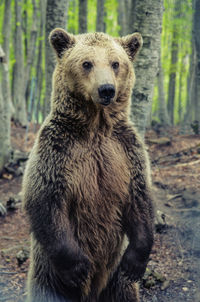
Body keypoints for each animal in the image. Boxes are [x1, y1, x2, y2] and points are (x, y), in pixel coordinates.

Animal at [22, 28, 153, 302]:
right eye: (86, 63)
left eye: (116, 63)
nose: (106, 90)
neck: (96, 127)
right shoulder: (58, 148)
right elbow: (45, 196)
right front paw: (78, 268)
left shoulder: (126, 150)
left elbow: (140, 195)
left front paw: (136, 263)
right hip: (48, 274)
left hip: (114, 279)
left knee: (123, 290)